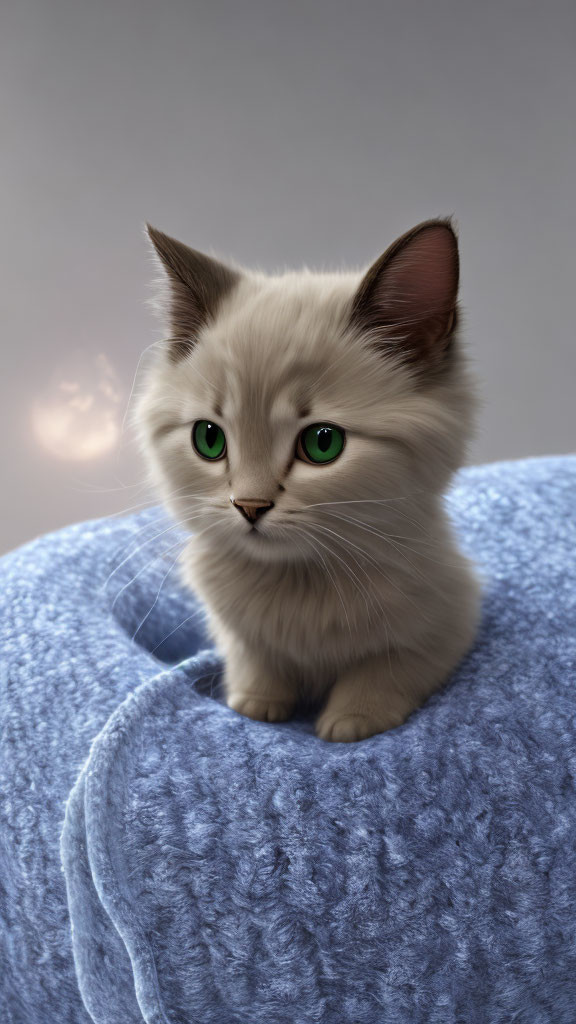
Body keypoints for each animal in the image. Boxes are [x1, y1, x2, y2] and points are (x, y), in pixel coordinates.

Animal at [135, 220, 479, 741]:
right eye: (209, 439)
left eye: (322, 443)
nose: (249, 506)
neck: (299, 585)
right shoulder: (232, 630)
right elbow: (255, 662)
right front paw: (255, 704)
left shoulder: (453, 618)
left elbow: (388, 667)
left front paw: (352, 721)